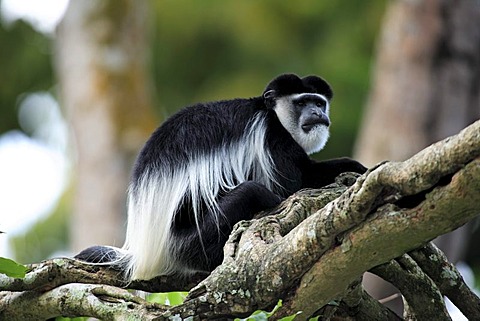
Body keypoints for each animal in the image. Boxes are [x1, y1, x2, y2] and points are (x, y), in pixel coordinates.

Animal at [77, 72, 366, 280]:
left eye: (319, 102)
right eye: (302, 102)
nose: (317, 114)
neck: (268, 111)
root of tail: (143, 252)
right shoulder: (272, 136)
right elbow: (293, 186)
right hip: (186, 243)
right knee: (251, 192)